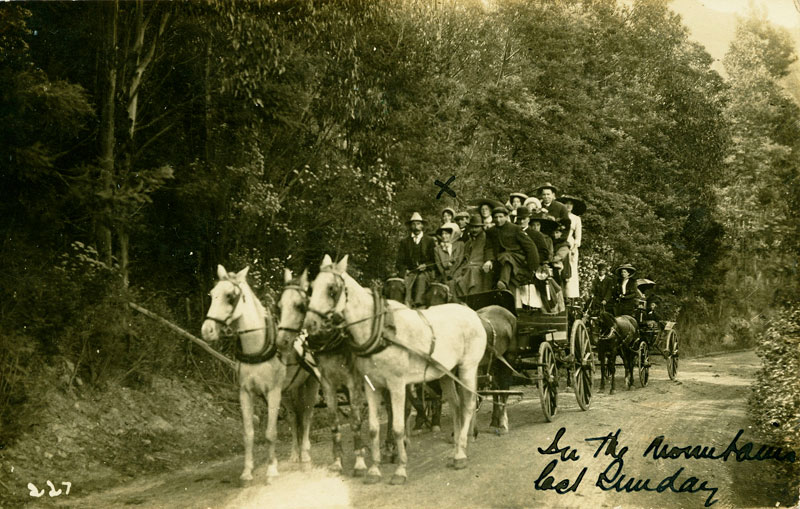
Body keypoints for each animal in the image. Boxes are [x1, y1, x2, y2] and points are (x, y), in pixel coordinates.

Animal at [200, 264, 318, 482]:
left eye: (230, 296)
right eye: (212, 294)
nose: (207, 330)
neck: (256, 346)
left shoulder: (272, 392)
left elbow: (271, 433)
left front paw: (271, 469)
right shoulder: (245, 393)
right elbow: (248, 434)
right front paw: (247, 471)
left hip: (311, 384)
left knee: (306, 416)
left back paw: (305, 453)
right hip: (288, 391)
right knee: (293, 418)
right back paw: (294, 454)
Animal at [302, 254, 484, 484]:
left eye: (332, 289)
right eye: (312, 287)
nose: (310, 324)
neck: (381, 330)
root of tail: (473, 314)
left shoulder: (397, 384)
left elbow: (398, 427)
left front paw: (400, 470)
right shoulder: (371, 385)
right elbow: (373, 428)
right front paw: (374, 470)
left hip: (468, 368)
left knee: (469, 405)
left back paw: (461, 455)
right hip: (446, 373)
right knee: (456, 405)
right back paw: (455, 451)